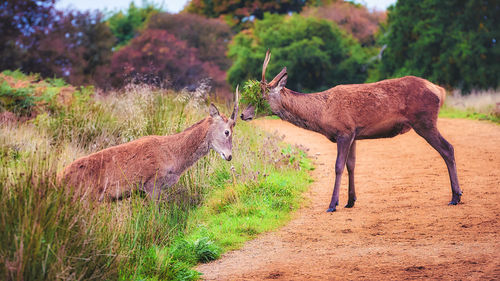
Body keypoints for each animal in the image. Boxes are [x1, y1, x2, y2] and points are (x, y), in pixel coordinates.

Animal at [240, 51, 462, 211]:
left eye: (260, 98)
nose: (242, 114)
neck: (321, 114)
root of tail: (439, 90)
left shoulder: (344, 131)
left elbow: (338, 166)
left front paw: (332, 204)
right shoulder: (354, 134)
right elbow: (351, 165)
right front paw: (350, 201)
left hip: (424, 121)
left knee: (448, 148)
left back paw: (456, 196)